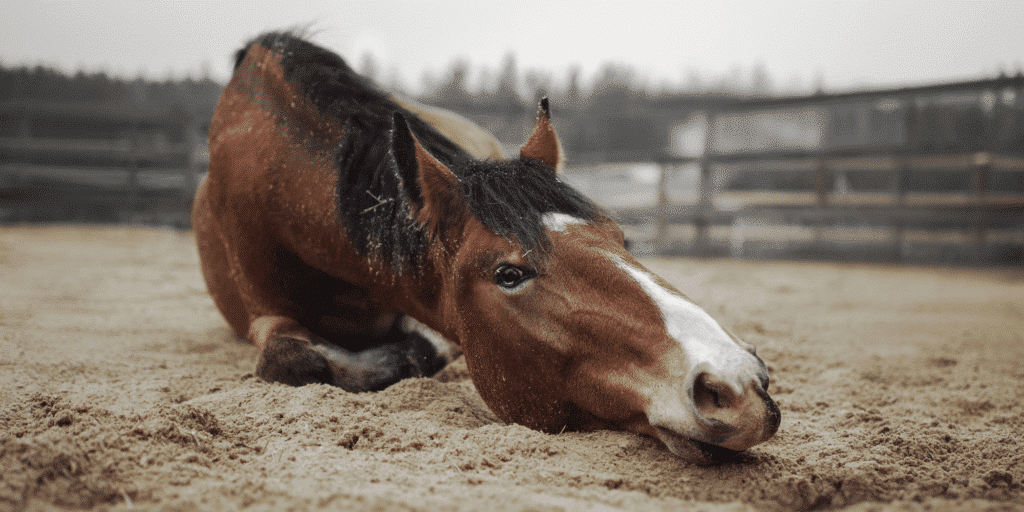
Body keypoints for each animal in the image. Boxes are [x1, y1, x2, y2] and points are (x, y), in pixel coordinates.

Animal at [195, 32, 778, 464]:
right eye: (508, 274)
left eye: (622, 238)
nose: (738, 383)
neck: (280, 183)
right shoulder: (262, 313)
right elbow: (293, 361)